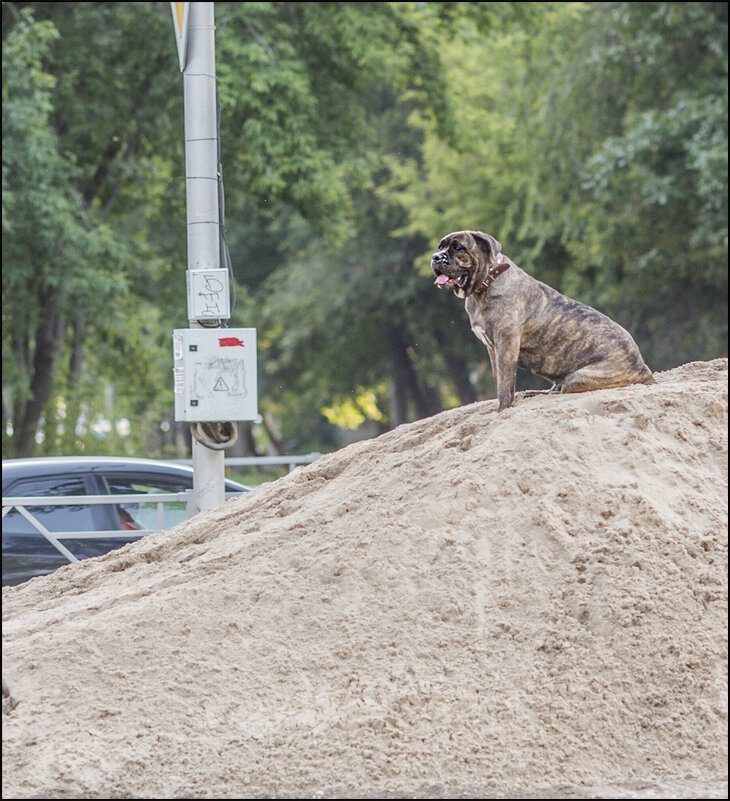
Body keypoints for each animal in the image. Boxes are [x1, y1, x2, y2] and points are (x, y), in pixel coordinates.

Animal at [430, 230, 652, 406]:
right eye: (441, 246)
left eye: (459, 248)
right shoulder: (493, 349)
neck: (485, 284)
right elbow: (499, 380)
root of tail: (642, 365)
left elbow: (504, 385)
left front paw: (503, 408)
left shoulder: (506, 345)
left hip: (578, 377)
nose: (436, 257)